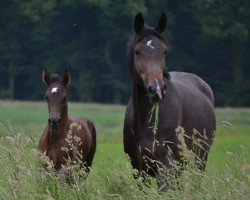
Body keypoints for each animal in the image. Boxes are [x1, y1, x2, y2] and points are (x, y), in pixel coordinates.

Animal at [122, 12, 215, 189]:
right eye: (137, 52)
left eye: (164, 51)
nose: (156, 90)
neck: (147, 122)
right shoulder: (138, 170)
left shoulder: (166, 166)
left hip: (200, 160)